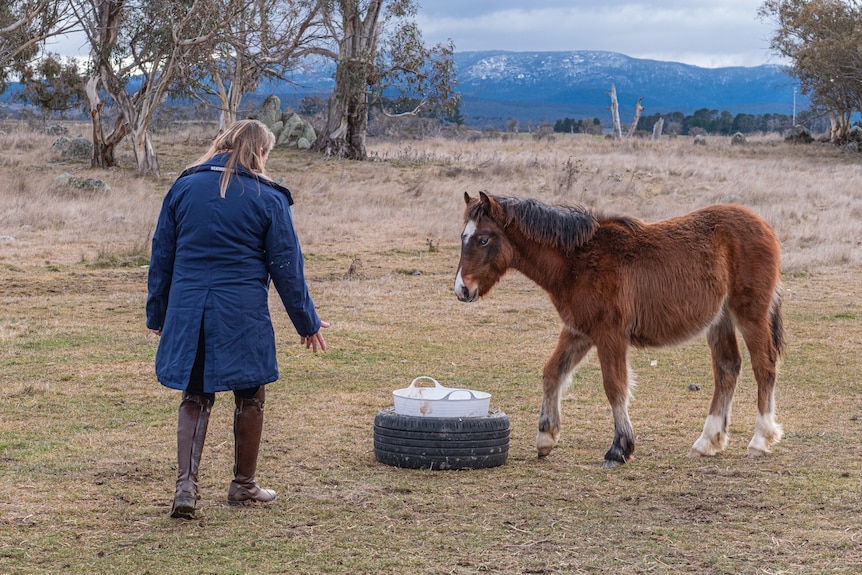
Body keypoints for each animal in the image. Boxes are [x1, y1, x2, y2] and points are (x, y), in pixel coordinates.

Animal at [456, 194, 788, 468]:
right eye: (463, 237)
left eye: (483, 239)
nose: (461, 289)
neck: (577, 260)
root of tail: (765, 226)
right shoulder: (578, 331)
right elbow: (552, 373)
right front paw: (546, 437)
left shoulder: (609, 334)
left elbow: (614, 386)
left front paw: (619, 448)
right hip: (720, 321)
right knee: (728, 369)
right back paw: (707, 442)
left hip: (750, 314)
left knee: (764, 366)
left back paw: (760, 440)